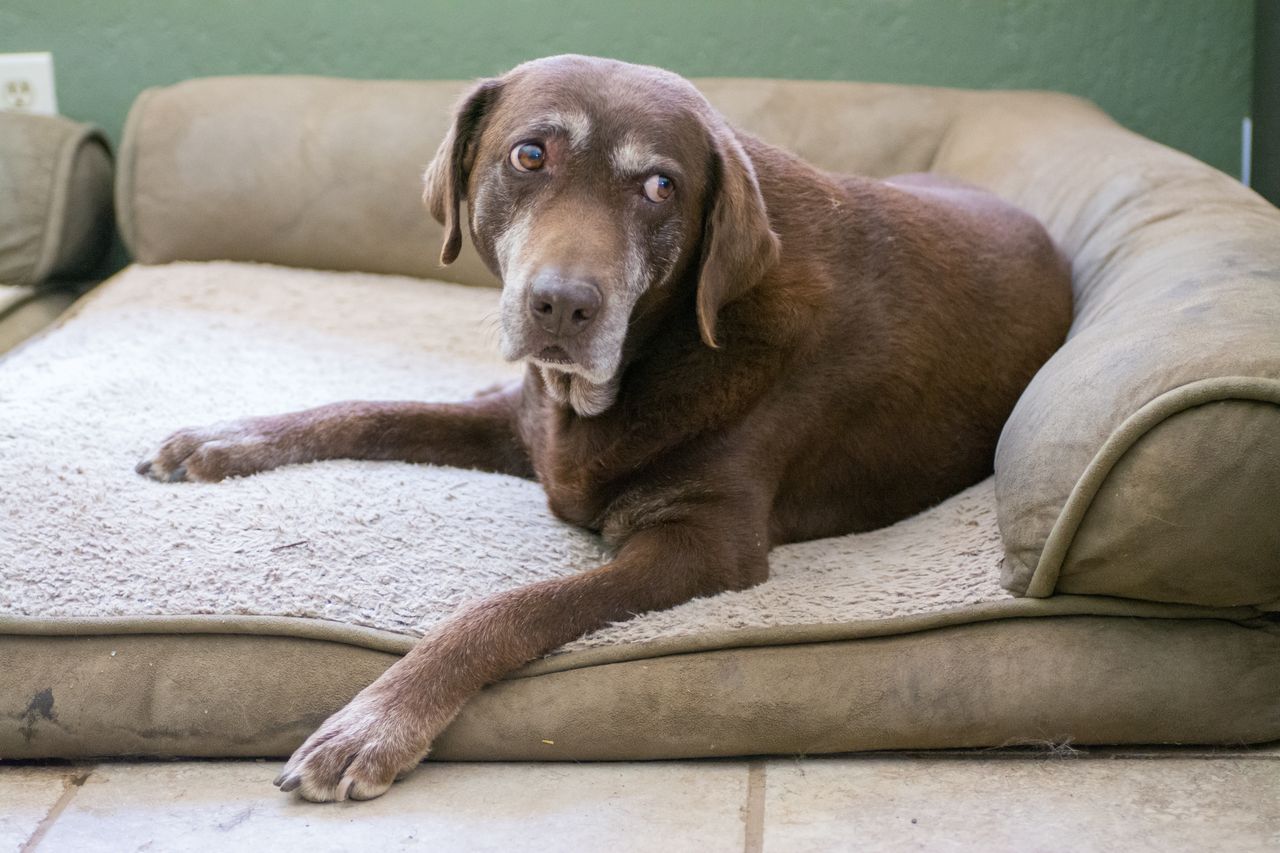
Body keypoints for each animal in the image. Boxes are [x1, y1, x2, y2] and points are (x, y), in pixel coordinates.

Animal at [135, 56, 1075, 799]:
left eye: (660, 185)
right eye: (530, 154)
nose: (562, 304)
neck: (637, 365)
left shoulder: (703, 542)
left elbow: (507, 608)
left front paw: (377, 718)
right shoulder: (522, 426)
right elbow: (365, 411)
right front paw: (221, 438)